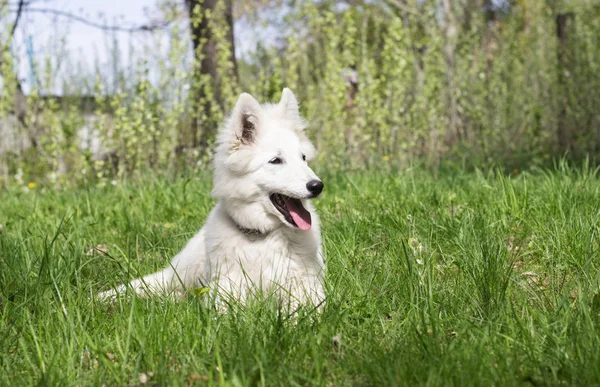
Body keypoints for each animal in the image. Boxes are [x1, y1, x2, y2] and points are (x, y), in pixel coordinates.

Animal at [98, 89, 326, 310]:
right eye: (276, 161)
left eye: (303, 158)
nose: (318, 186)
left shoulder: (308, 287)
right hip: (185, 272)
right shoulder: (225, 289)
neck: (261, 236)